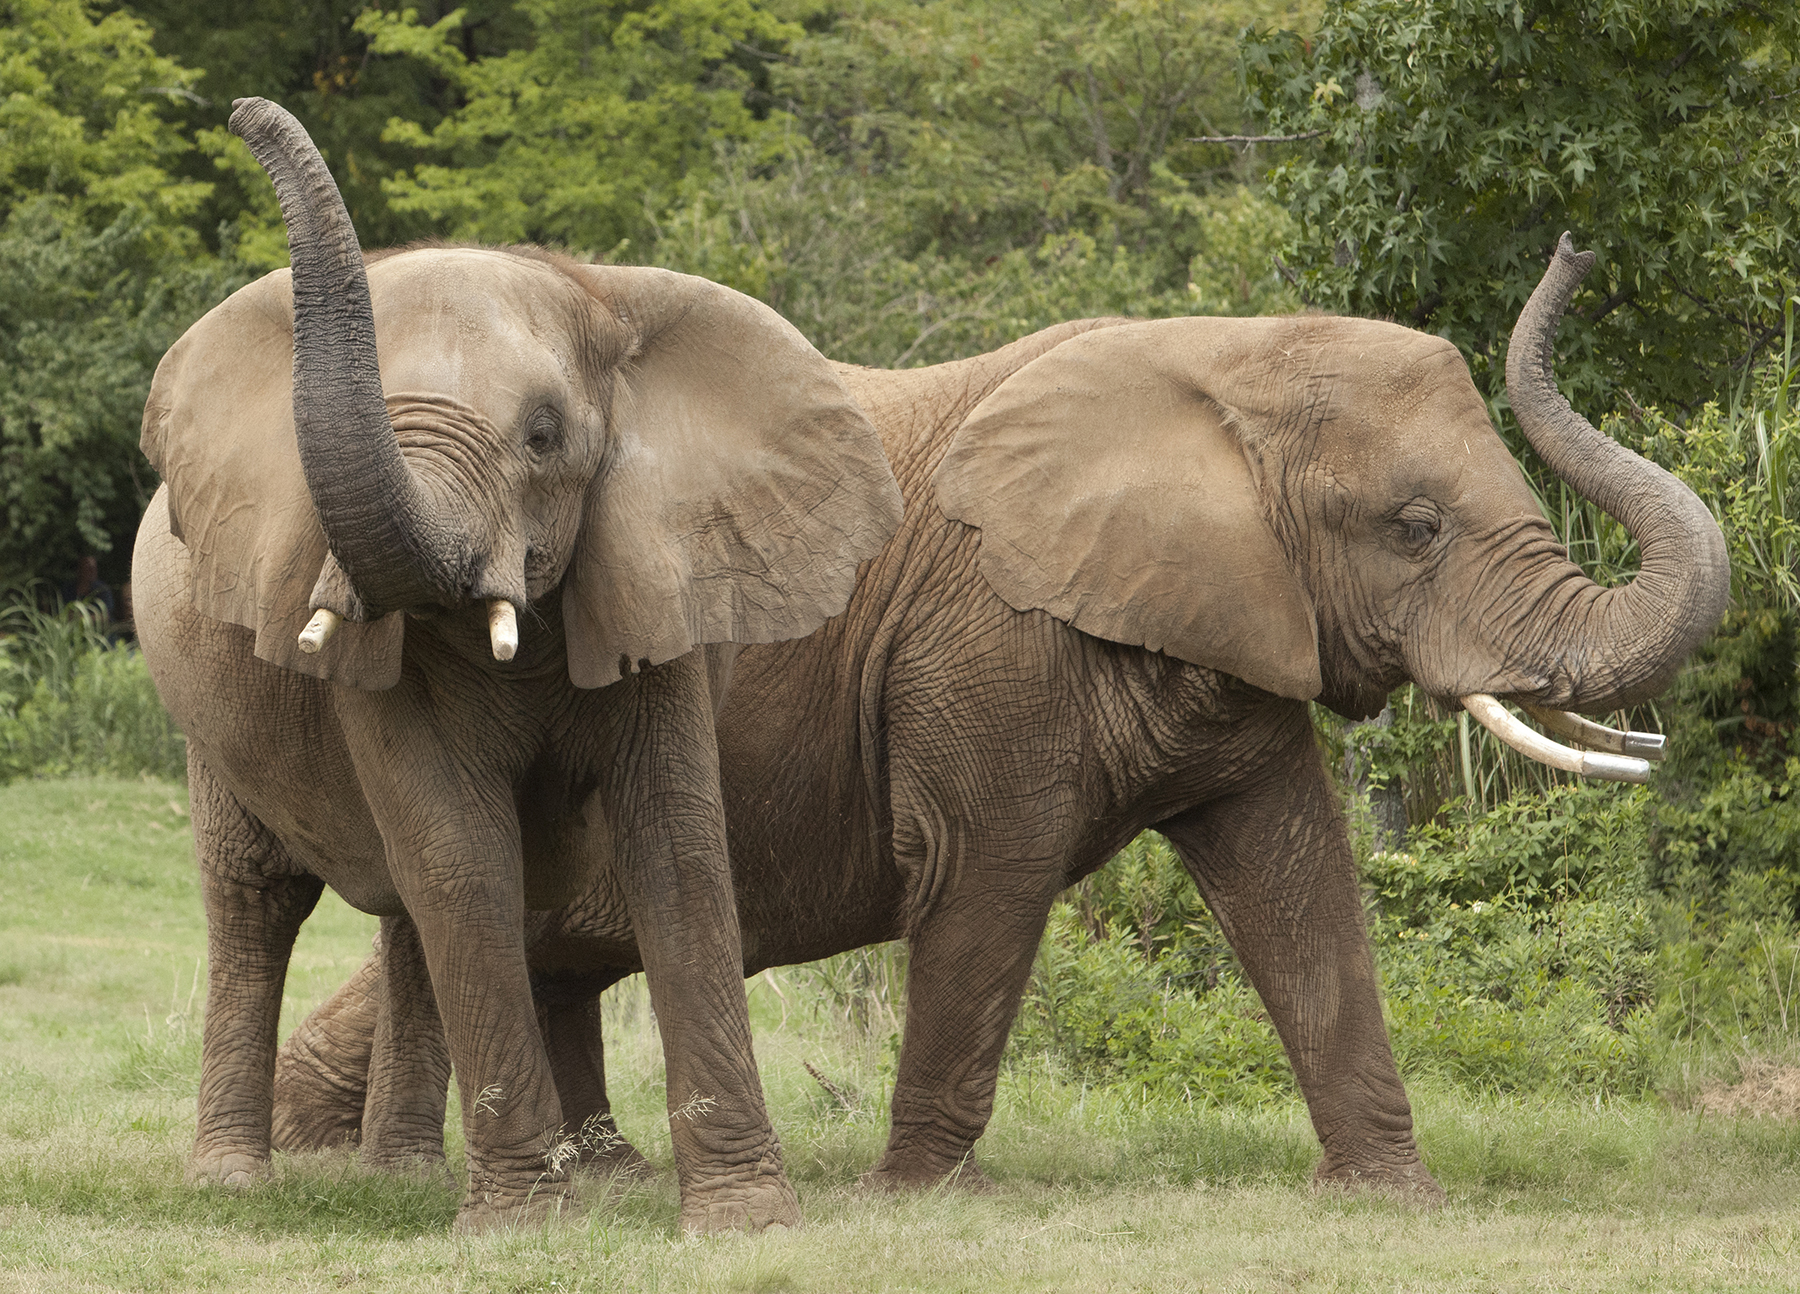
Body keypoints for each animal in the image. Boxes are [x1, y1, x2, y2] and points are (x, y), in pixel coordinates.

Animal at [131, 101, 907, 1238]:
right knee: (258, 900)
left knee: (403, 912)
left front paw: (745, 1221)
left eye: (543, 437)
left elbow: (676, 848)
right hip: (204, 713)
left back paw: (400, 1178)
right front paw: (522, 1226)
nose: (238, 113)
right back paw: (235, 1181)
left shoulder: (654, 580)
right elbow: (464, 855)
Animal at [270, 237, 1728, 1202]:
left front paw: (1389, 1194)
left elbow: (1300, 876)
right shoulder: (988, 647)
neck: (1222, 356)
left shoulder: (1238, 628)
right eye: (1415, 526)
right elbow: (990, 876)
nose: (1575, 241)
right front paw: (913, 1194)